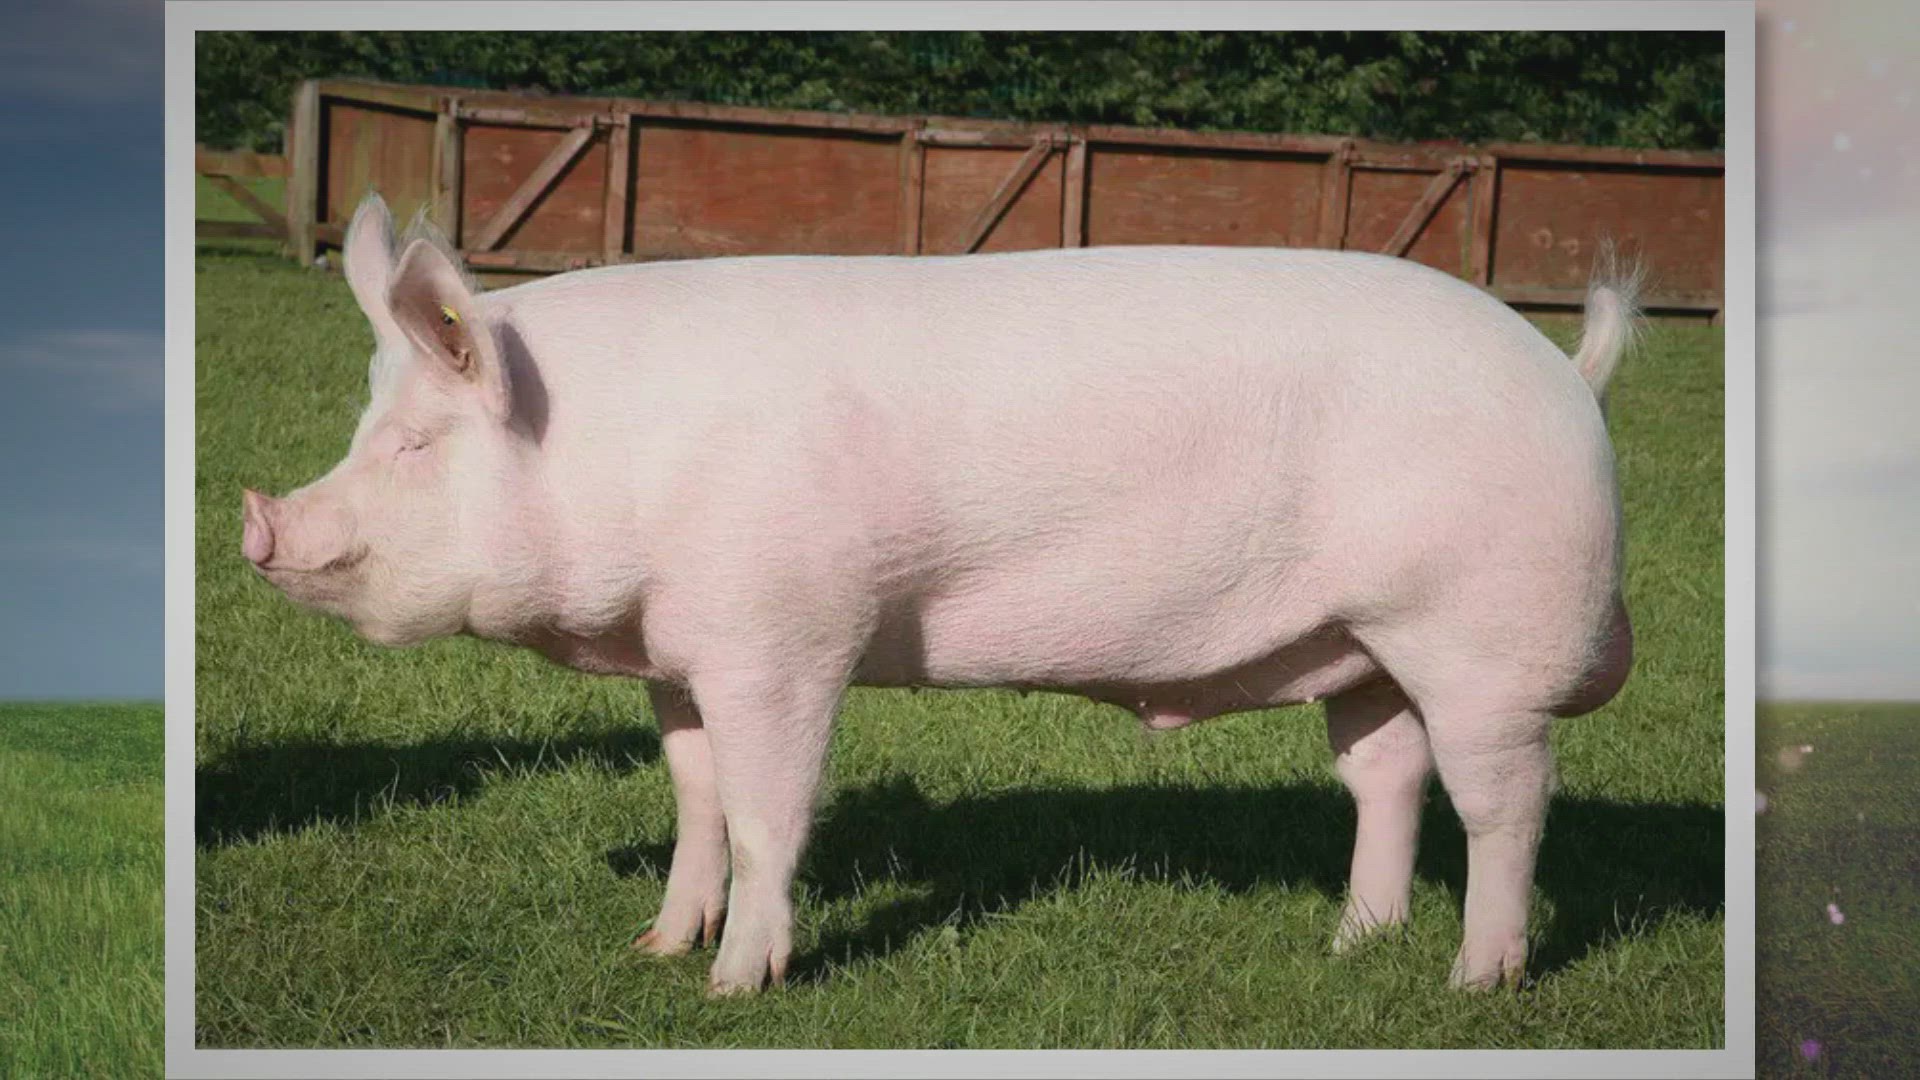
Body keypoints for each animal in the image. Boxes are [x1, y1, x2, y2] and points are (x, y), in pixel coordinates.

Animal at [241, 192, 1638, 995]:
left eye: (414, 444)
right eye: (367, 429)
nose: (258, 524)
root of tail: (1569, 372)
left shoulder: (787, 634)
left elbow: (766, 813)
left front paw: (734, 990)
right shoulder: (680, 650)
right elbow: (694, 804)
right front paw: (653, 949)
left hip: (1478, 636)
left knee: (1506, 803)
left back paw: (1473, 983)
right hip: (1363, 643)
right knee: (1388, 778)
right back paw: (1352, 947)